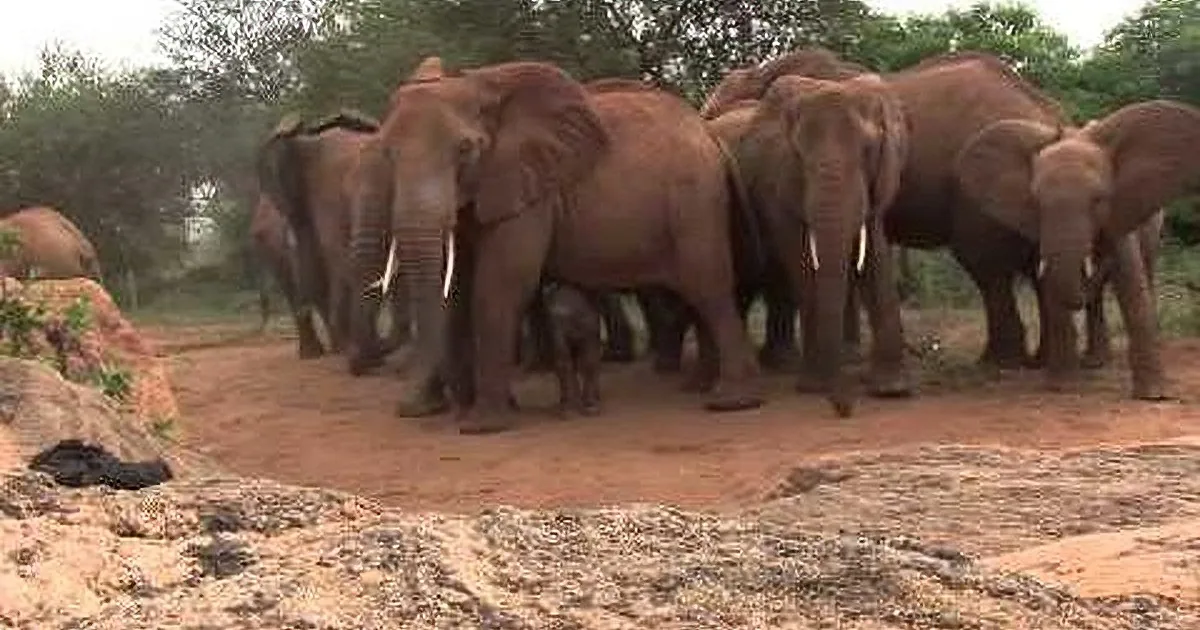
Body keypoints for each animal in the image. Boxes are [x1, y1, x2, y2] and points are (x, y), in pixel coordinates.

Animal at [353, 59, 763, 434]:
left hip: (695, 201)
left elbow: (500, 284)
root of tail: (711, 135)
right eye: (386, 154)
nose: (450, 411)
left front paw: (483, 426)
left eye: (465, 150)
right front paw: (474, 411)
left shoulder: (529, 193)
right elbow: (458, 288)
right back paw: (702, 388)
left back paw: (730, 402)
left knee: (708, 287)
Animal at [954, 99, 1200, 397]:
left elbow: (1131, 284)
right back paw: (1095, 362)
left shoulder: (1120, 210)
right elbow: (1053, 282)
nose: (1097, 258)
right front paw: (1062, 387)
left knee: (1146, 271)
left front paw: (1152, 396)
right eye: (1036, 202)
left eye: (1099, 200)